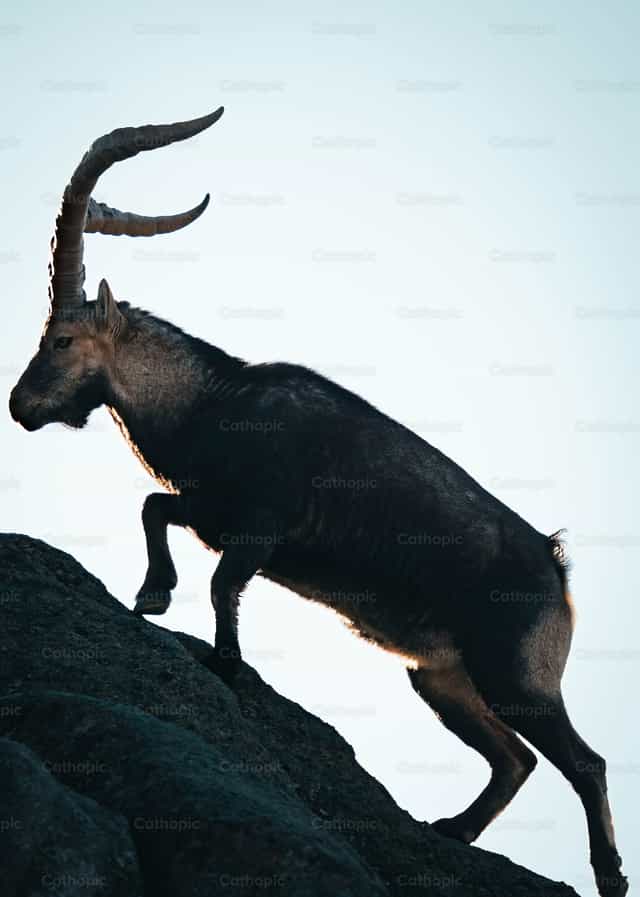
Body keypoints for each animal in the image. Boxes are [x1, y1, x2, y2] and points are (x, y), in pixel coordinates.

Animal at [8, 108, 627, 897]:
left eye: (61, 337)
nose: (20, 406)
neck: (212, 403)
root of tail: (556, 567)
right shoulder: (214, 512)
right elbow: (154, 508)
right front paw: (153, 595)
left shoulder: (260, 527)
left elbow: (221, 583)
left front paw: (225, 660)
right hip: (441, 677)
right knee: (512, 758)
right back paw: (453, 828)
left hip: (515, 668)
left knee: (581, 760)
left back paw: (609, 873)